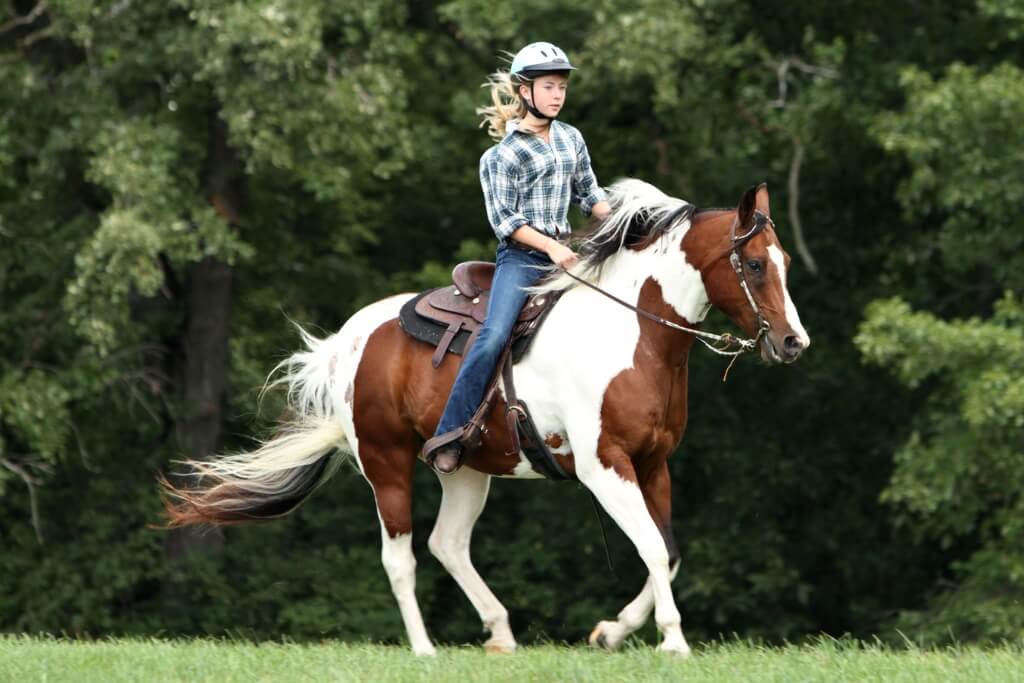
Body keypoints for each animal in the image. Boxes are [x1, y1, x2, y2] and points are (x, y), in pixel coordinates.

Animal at [161, 178, 806, 655]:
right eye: (753, 264)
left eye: (785, 262)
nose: (794, 343)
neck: (633, 333)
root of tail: (348, 341)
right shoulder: (604, 466)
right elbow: (649, 545)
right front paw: (672, 642)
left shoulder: (653, 463)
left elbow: (666, 553)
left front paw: (611, 632)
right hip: (386, 462)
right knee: (400, 557)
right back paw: (424, 650)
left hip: (465, 468)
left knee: (447, 542)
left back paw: (499, 632)